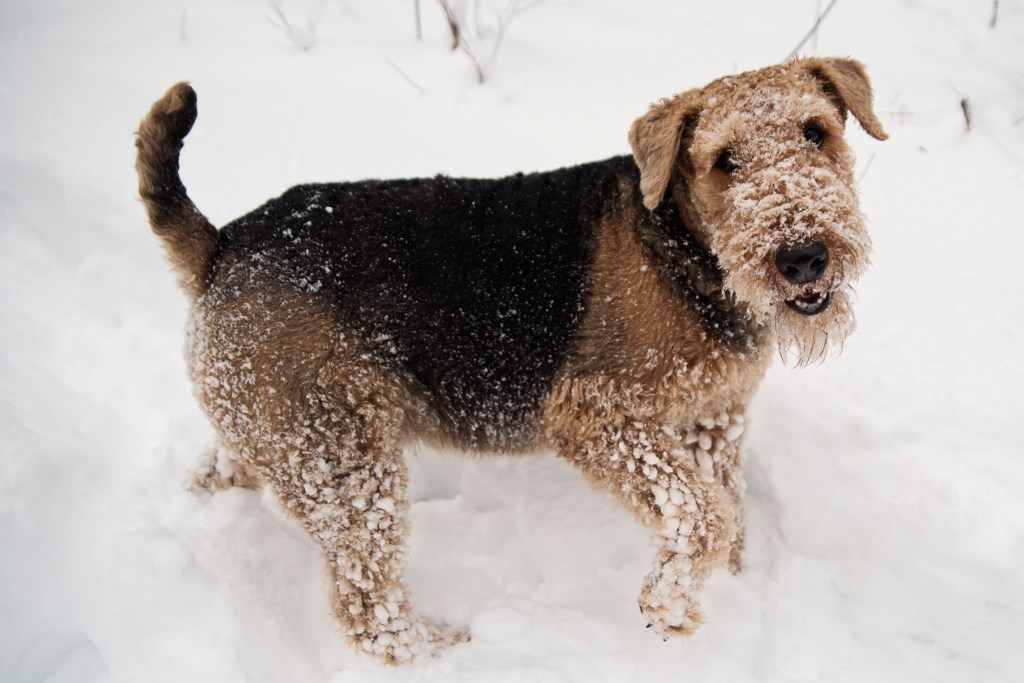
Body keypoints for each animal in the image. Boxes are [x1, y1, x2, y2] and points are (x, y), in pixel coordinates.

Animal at [136, 56, 888, 663]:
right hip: (344, 459)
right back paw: (442, 648)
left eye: (817, 131)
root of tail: (221, 246)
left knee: (216, 474)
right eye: (724, 159)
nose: (802, 257)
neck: (684, 248)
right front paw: (667, 607)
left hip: (274, 431)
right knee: (367, 606)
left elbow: (725, 513)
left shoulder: (714, 420)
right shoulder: (596, 412)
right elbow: (704, 514)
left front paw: (730, 594)